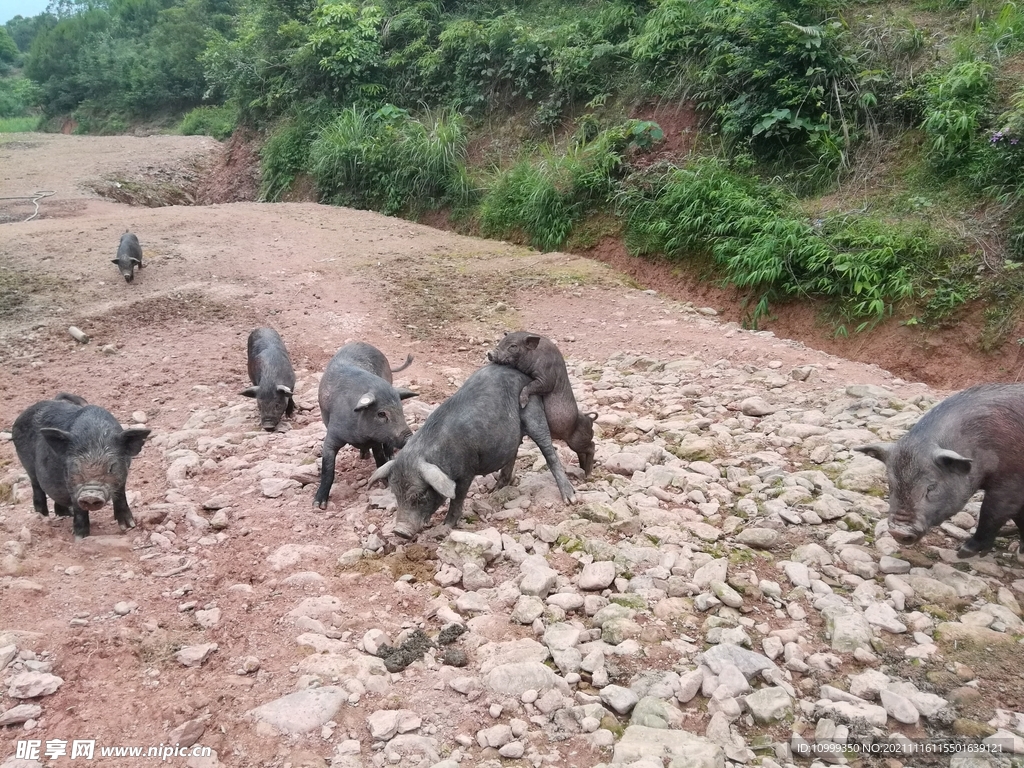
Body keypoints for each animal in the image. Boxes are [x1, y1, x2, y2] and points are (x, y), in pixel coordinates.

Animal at [12, 397, 149, 540]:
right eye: (77, 466)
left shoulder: (123, 476)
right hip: (28, 466)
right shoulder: (71, 482)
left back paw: (66, 514)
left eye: (111, 467)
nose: (91, 496)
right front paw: (80, 537)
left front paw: (129, 526)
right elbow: (79, 507)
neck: (95, 435)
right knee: (37, 488)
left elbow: (121, 496)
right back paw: (42, 517)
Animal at [311, 342, 415, 512]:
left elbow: (380, 458)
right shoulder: (332, 436)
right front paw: (318, 505)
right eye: (381, 413)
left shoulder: (377, 440)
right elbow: (328, 469)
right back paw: (363, 456)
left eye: (401, 409)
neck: (359, 437)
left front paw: (386, 484)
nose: (409, 437)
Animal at [370, 364, 581, 540]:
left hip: (533, 412)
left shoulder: (466, 470)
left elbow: (457, 499)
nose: (400, 531)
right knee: (513, 450)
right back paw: (496, 489)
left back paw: (570, 498)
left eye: (420, 496)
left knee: (549, 451)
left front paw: (445, 527)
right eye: (396, 495)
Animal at [485, 333, 598, 479]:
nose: (490, 353)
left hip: (578, 439)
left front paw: (522, 403)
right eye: (501, 341)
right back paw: (583, 471)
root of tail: (590, 419)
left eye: (513, 346)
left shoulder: (546, 378)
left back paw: (588, 475)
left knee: (591, 446)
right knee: (582, 452)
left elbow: (532, 385)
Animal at [851, 385, 1024, 561]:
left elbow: (991, 513)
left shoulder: (1010, 484)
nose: (898, 531)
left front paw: (962, 552)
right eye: (891, 484)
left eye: (931, 487)